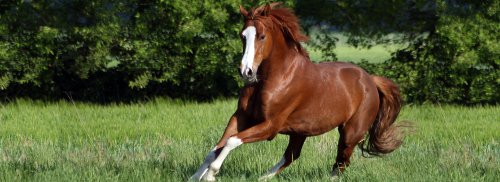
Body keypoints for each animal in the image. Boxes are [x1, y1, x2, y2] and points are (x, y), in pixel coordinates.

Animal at [189, 2, 404, 181]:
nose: (246, 72)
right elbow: (216, 148)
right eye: (242, 36)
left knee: (341, 161)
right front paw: (195, 177)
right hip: (300, 131)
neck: (273, 78)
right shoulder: (241, 117)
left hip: (351, 132)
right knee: (292, 155)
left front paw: (211, 175)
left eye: (261, 36)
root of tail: (371, 80)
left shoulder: (270, 126)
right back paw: (262, 178)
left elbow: (231, 141)